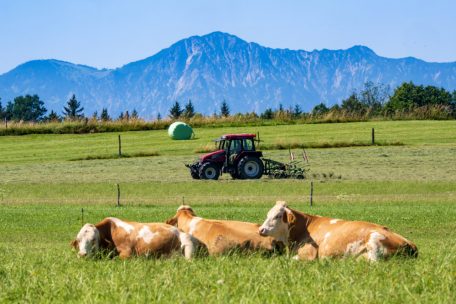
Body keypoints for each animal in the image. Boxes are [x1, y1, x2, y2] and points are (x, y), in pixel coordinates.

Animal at [258, 202, 418, 262]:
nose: (261, 229)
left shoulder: (308, 255)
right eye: (267, 214)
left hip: (374, 241)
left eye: (277, 216)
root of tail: (410, 243)